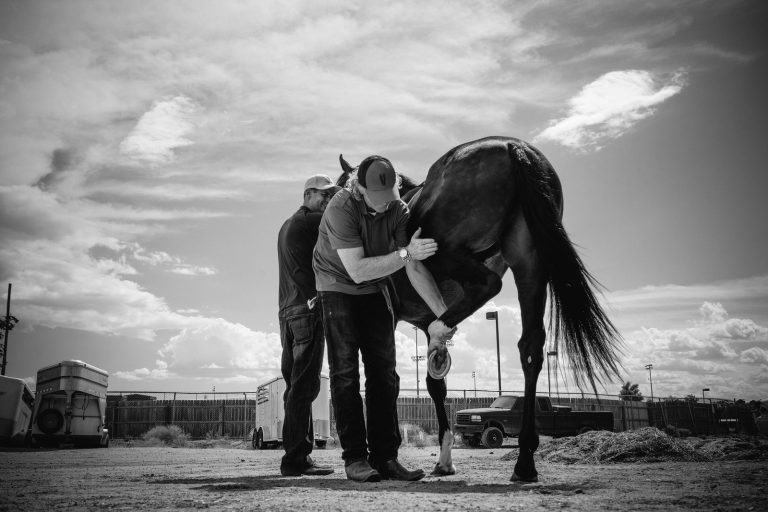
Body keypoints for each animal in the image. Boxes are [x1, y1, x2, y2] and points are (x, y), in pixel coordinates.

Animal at [336, 136, 622, 482]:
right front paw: (444, 458)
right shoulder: (426, 317)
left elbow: (389, 378)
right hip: (529, 264)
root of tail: (513, 148)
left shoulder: (392, 317)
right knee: (530, 348)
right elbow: (435, 385)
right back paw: (524, 461)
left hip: (442, 249)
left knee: (488, 284)